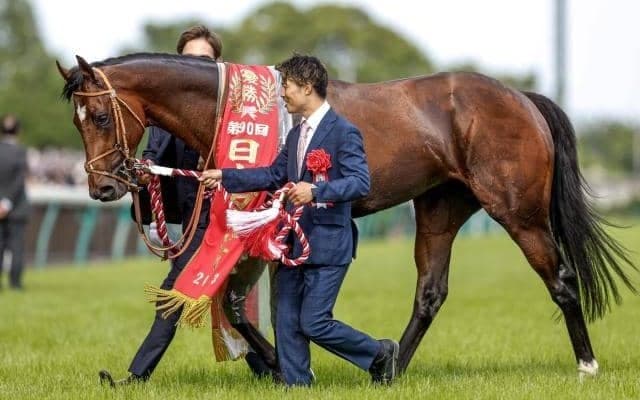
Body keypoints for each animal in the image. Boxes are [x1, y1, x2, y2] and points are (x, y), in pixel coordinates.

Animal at [57, 53, 636, 378]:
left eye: (102, 115)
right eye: (76, 121)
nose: (103, 186)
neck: (230, 109)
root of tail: (521, 97)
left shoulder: (261, 222)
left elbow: (249, 306)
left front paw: (280, 363)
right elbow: (238, 306)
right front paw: (278, 364)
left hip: (518, 212)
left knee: (560, 279)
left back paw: (587, 365)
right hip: (441, 207)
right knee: (430, 292)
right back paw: (392, 368)